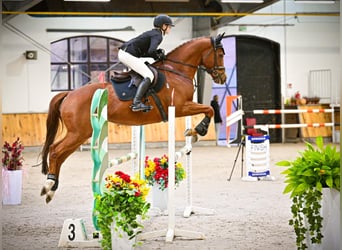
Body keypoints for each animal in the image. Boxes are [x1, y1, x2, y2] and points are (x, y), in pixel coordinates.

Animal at [40, 33, 227, 203]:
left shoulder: (183, 107)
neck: (177, 71)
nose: (222, 78)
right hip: (78, 132)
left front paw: (193, 132)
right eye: (220, 54)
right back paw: (49, 186)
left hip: (81, 133)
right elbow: (210, 109)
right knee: (56, 151)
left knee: (60, 153)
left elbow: (208, 109)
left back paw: (51, 187)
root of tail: (69, 94)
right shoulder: (180, 107)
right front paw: (198, 130)